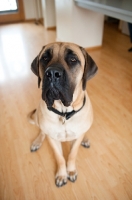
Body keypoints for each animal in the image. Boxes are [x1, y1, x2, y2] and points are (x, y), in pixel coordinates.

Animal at [28, 41, 97, 187]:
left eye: (73, 60)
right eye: (45, 58)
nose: (52, 73)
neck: (64, 113)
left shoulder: (76, 139)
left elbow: (72, 155)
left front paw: (70, 171)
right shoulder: (53, 138)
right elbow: (59, 158)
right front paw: (61, 175)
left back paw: (85, 139)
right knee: (41, 131)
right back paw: (37, 141)